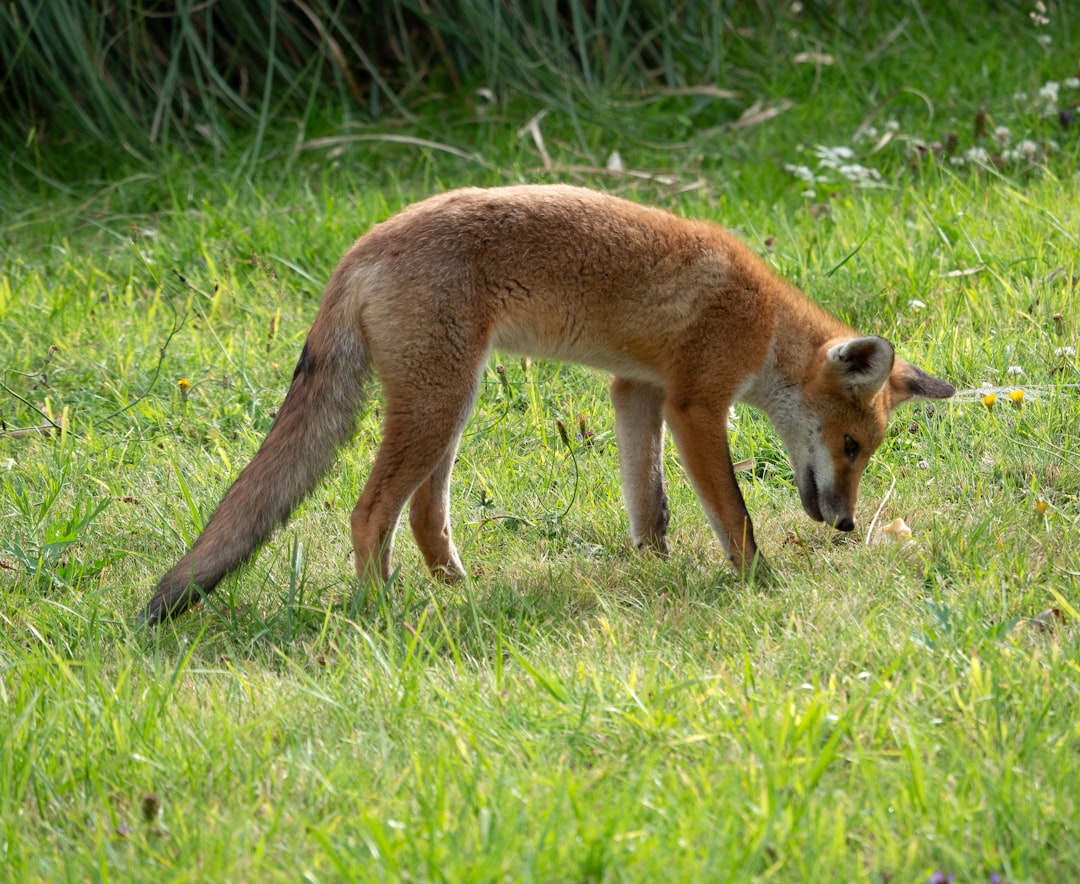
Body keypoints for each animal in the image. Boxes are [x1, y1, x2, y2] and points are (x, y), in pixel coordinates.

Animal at [140, 184, 955, 624]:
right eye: (850, 447)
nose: (846, 524)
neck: (761, 323)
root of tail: (361, 246)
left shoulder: (637, 390)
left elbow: (650, 507)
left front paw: (653, 572)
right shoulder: (695, 405)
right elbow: (736, 517)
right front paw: (761, 583)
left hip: (452, 403)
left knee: (423, 513)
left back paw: (458, 592)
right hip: (439, 403)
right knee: (369, 512)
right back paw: (381, 609)